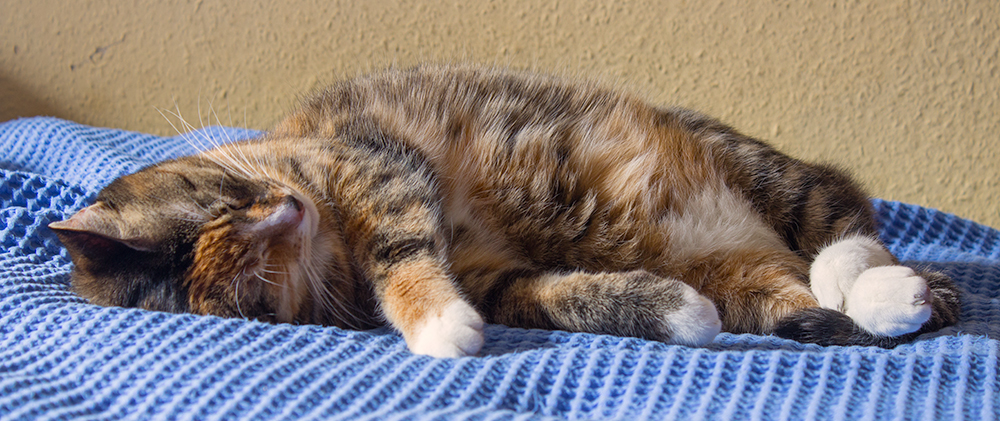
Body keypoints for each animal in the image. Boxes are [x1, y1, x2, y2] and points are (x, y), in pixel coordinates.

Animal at [48, 64, 960, 356]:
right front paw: (674, 311)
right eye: (254, 293)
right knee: (792, 294)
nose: (289, 215)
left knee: (843, 217)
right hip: (749, 273)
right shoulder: (502, 278)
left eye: (231, 203)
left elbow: (401, 248)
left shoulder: (374, 163)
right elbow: (571, 297)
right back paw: (867, 305)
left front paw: (432, 322)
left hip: (755, 167)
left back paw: (882, 281)